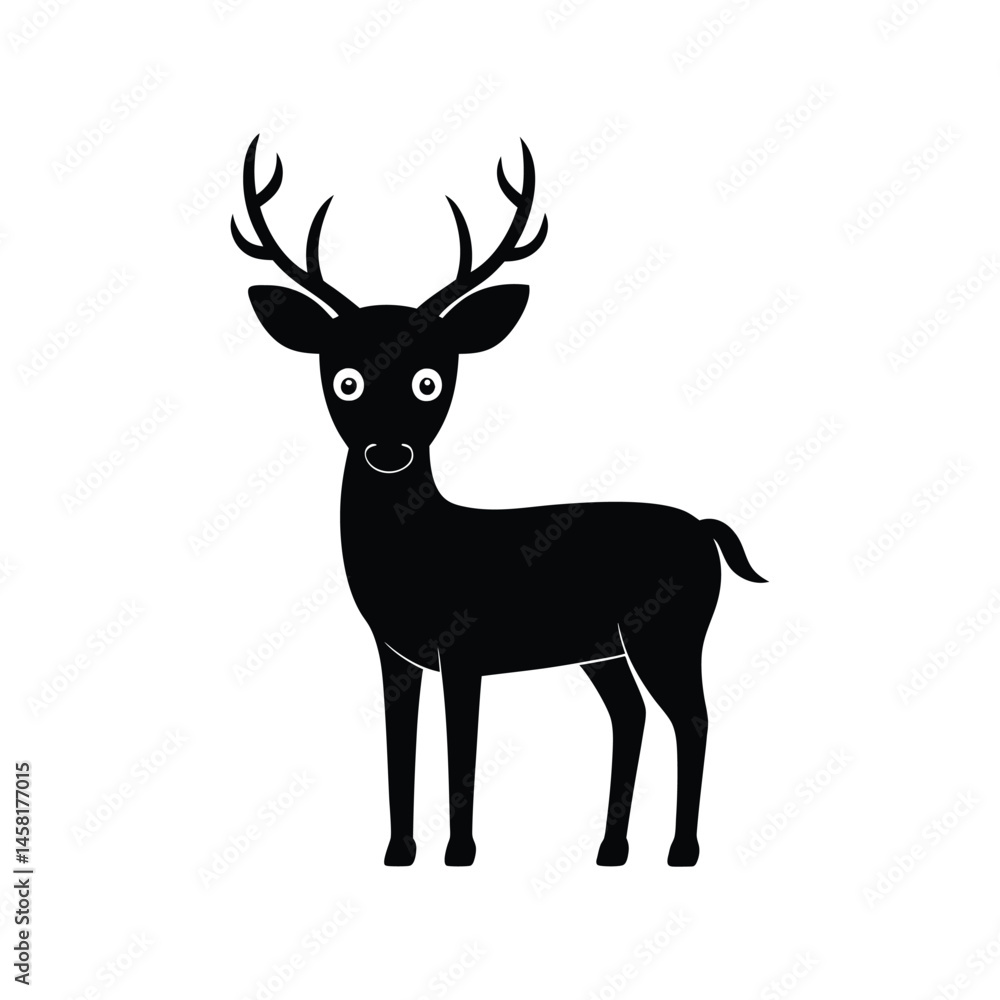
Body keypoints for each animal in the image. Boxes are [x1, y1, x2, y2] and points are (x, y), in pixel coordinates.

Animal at [231, 135, 766, 867]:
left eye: (431, 379)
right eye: (344, 379)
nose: (389, 450)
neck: (419, 554)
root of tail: (707, 530)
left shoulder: (466, 648)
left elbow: (462, 749)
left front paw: (460, 853)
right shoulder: (395, 655)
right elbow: (400, 749)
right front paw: (399, 852)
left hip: (672, 630)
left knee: (693, 717)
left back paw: (681, 851)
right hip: (604, 648)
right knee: (630, 714)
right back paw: (611, 849)